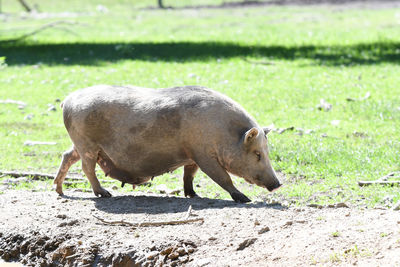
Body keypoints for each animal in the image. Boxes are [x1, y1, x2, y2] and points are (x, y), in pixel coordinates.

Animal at [53, 85, 282, 203]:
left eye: (267, 151)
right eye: (257, 154)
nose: (278, 184)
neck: (224, 132)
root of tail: (68, 100)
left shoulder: (192, 155)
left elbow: (189, 175)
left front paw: (193, 195)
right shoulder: (203, 154)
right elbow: (222, 177)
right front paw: (245, 199)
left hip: (80, 144)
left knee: (67, 156)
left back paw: (59, 191)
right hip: (86, 143)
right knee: (86, 167)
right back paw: (104, 194)